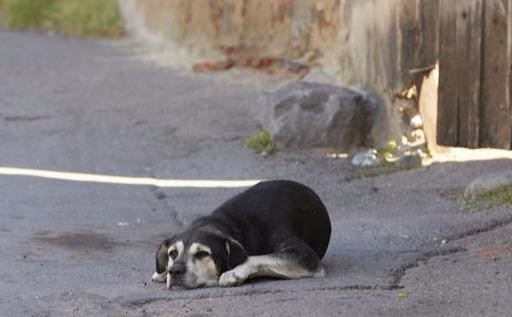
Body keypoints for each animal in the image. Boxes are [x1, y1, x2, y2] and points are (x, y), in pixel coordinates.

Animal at [151, 179, 332, 288]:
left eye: (202, 254)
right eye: (172, 253)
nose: (175, 271)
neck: (236, 226)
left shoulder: (305, 256)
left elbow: (255, 257)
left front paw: (235, 271)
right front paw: (163, 271)